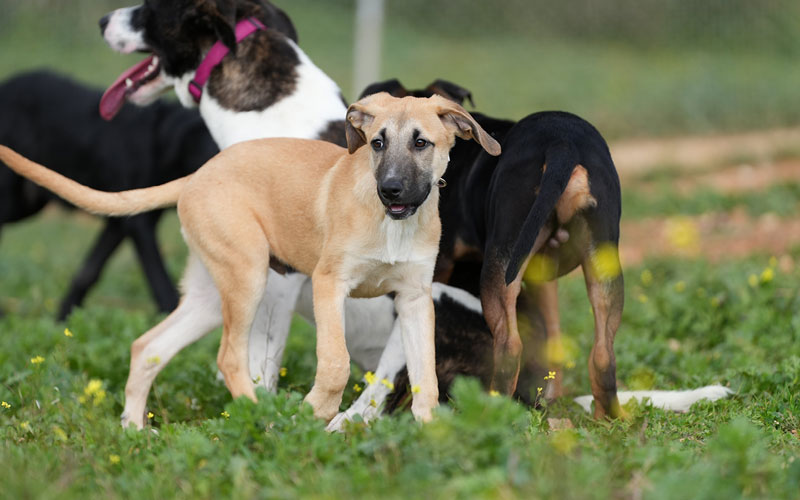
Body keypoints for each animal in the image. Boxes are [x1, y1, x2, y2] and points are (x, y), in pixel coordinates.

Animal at [0, 70, 217, 319]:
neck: (158, 140)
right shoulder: (139, 223)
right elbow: (159, 280)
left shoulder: (119, 219)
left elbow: (89, 270)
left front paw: (63, 317)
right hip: (13, 198)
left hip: (28, 202)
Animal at [359, 79, 624, 419]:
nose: (390, 190)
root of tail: (563, 145)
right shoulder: (541, 273)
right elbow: (552, 334)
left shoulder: (439, 263)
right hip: (601, 260)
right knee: (603, 352)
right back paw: (608, 419)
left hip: (500, 263)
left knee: (509, 345)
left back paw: (493, 408)